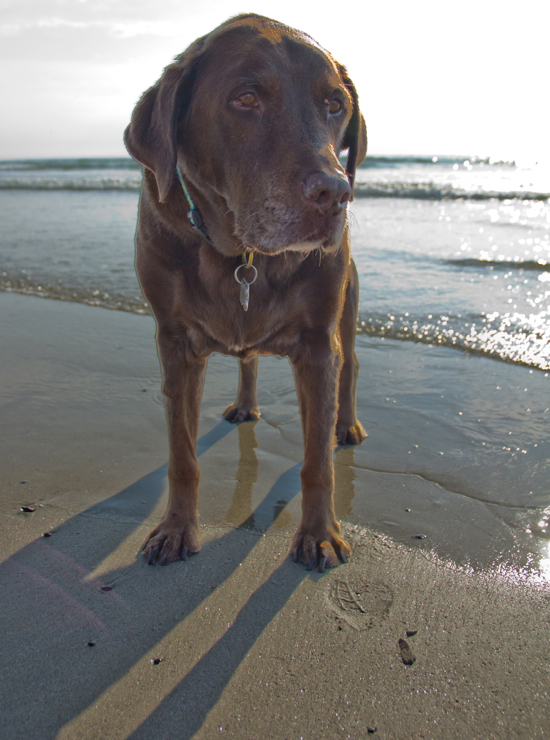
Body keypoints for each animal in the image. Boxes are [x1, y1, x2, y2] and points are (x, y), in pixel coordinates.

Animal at [124, 15, 366, 572]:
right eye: (247, 98)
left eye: (335, 104)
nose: (336, 193)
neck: (243, 254)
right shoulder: (174, 341)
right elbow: (183, 455)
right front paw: (175, 528)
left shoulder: (318, 343)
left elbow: (317, 461)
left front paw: (319, 532)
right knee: (248, 361)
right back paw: (246, 404)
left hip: (346, 306)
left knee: (350, 365)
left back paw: (345, 425)